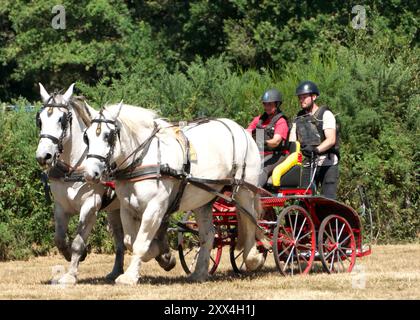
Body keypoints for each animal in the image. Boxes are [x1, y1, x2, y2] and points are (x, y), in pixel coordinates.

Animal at [34, 83, 124, 284]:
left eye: (62, 120)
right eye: (40, 120)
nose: (43, 156)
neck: (73, 170)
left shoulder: (90, 206)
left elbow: (77, 242)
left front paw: (71, 274)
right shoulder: (60, 206)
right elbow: (59, 239)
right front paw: (74, 256)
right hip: (114, 210)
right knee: (120, 239)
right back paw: (116, 272)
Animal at [83, 104, 264, 284]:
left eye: (108, 136)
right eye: (87, 137)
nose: (90, 173)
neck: (143, 159)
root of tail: (241, 130)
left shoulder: (155, 208)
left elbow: (140, 243)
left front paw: (130, 276)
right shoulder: (127, 209)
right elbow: (130, 241)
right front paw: (161, 254)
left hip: (245, 191)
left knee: (250, 223)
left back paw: (253, 259)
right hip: (203, 199)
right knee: (209, 234)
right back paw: (199, 273)